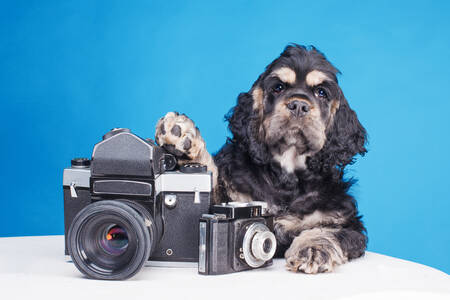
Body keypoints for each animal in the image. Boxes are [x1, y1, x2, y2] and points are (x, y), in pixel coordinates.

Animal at [156, 45, 368, 274]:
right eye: (278, 87)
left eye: (321, 92)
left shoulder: (346, 222)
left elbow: (327, 231)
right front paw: (182, 137)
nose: (298, 105)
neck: (287, 176)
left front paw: (312, 250)